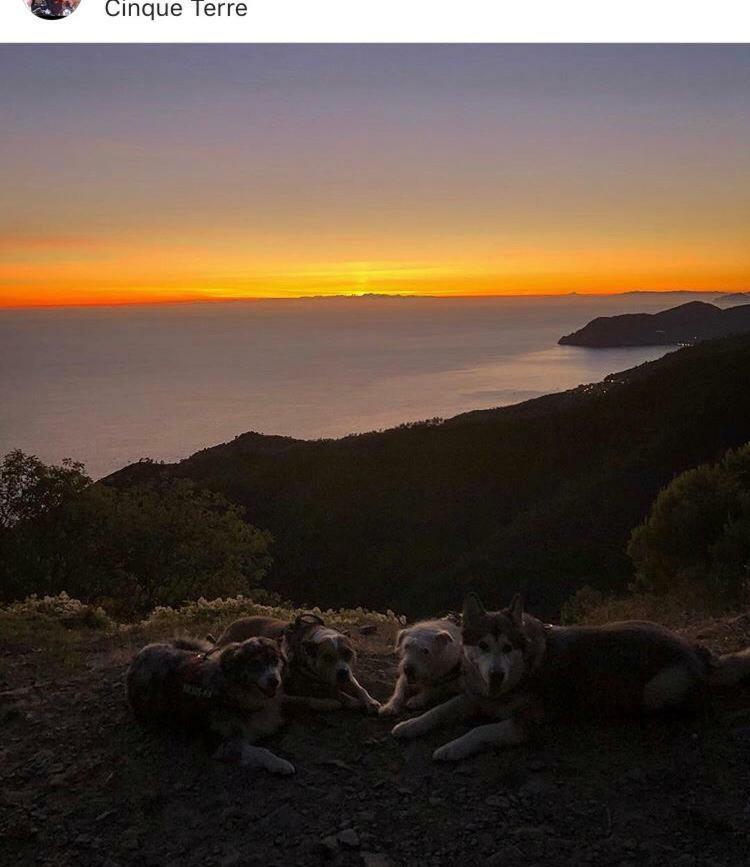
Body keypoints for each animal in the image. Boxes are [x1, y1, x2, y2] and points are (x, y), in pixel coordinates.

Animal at [128, 636, 296, 772]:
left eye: (275, 660)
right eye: (255, 663)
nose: (274, 681)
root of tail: (141, 653)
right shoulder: (217, 742)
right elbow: (260, 751)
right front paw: (279, 763)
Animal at [210, 612, 378, 712]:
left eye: (348, 654)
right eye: (327, 658)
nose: (342, 673)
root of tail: (232, 624)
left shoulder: (349, 674)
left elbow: (359, 687)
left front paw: (370, 701)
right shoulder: (303, 684)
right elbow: (335, 693)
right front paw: (352, 701)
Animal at [394, 592, 750, 764]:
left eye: (508, 647)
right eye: (482, 646)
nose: (496, 674)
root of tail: (697, 651)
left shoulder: (527, 723)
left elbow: (479, 730)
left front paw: (451, 748)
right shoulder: (474, 697)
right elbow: (439, 710)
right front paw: (410, 725)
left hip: (659, 689)